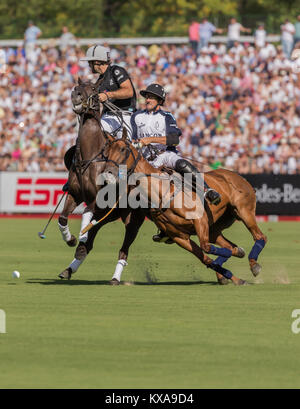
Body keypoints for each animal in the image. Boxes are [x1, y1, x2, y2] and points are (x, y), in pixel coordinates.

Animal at [96, 135, 270, 286]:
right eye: (107, 151)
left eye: (123, 149)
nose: (108, 173)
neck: (161, 192)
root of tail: (238, 175)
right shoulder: (179, 237)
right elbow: (206, 258)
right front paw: (234, 278)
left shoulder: (200, 220)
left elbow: (206, 248)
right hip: (215, 228)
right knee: (230, 245)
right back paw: (235, 258)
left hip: (244, 211)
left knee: (260, 236)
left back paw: (254, 265)